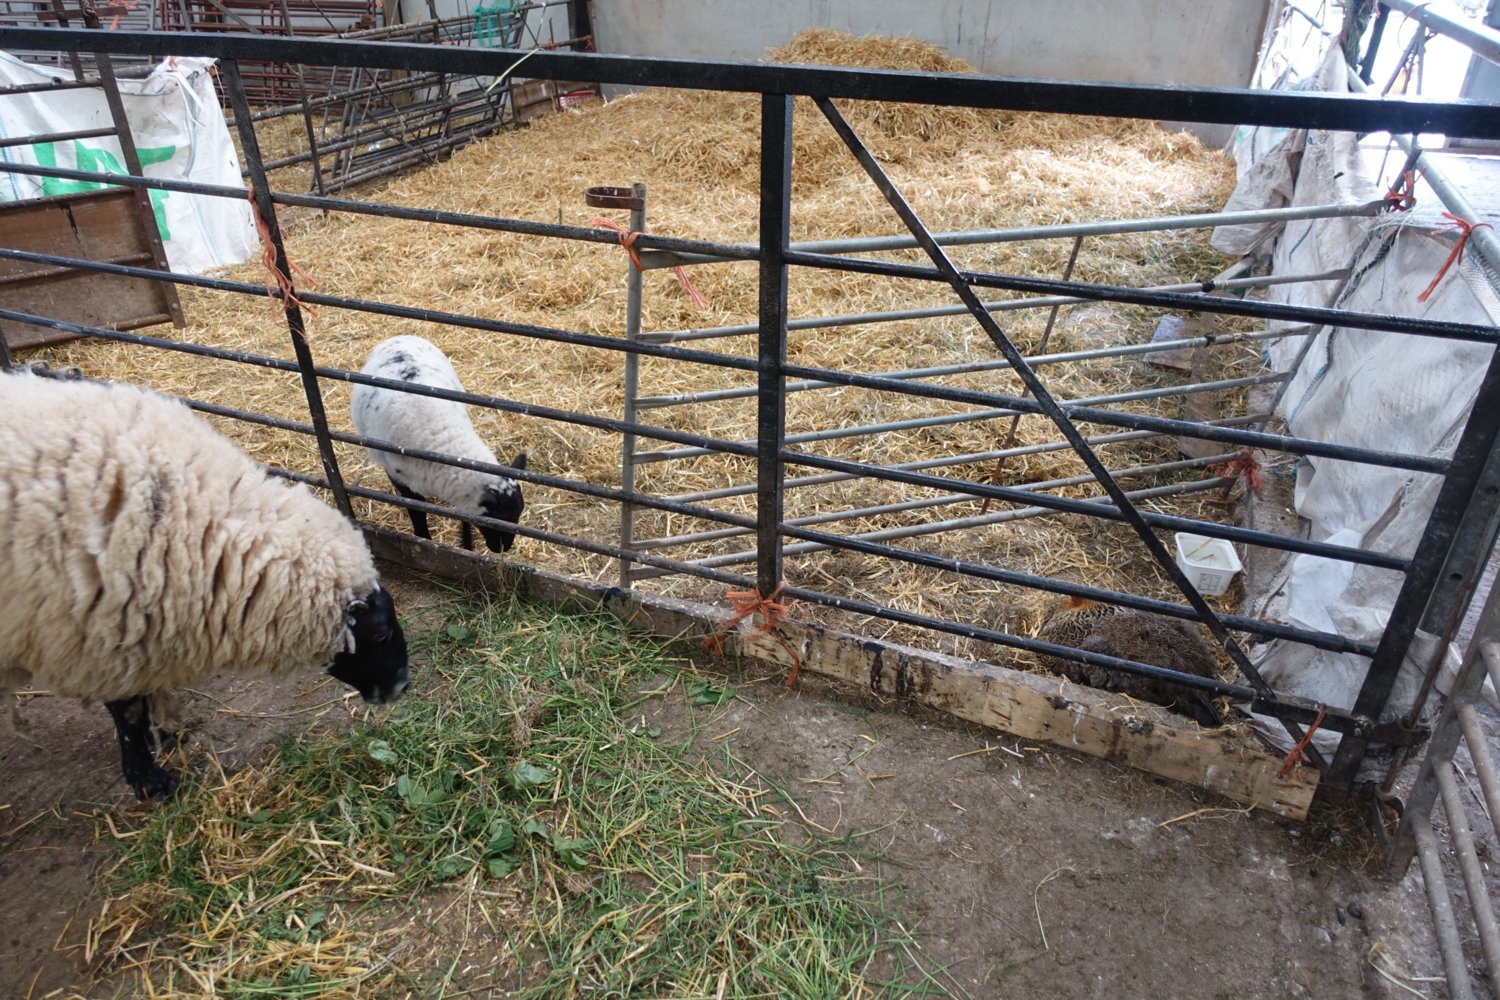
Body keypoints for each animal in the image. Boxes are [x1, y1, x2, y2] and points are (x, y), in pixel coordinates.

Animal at [0, 371, 414, 803]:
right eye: (379, 633)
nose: (402, 685)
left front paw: (161, 733)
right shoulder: (97, 634)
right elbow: (126, 708)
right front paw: (147, 776)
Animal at [349, 335, 528, 554]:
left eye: (519, 513)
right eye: (494, 520)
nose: (502, 549)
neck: (441, 438)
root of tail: (399, 337)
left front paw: (466, 545)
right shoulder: (398, 476)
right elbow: (417, 510)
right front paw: (424, 539)